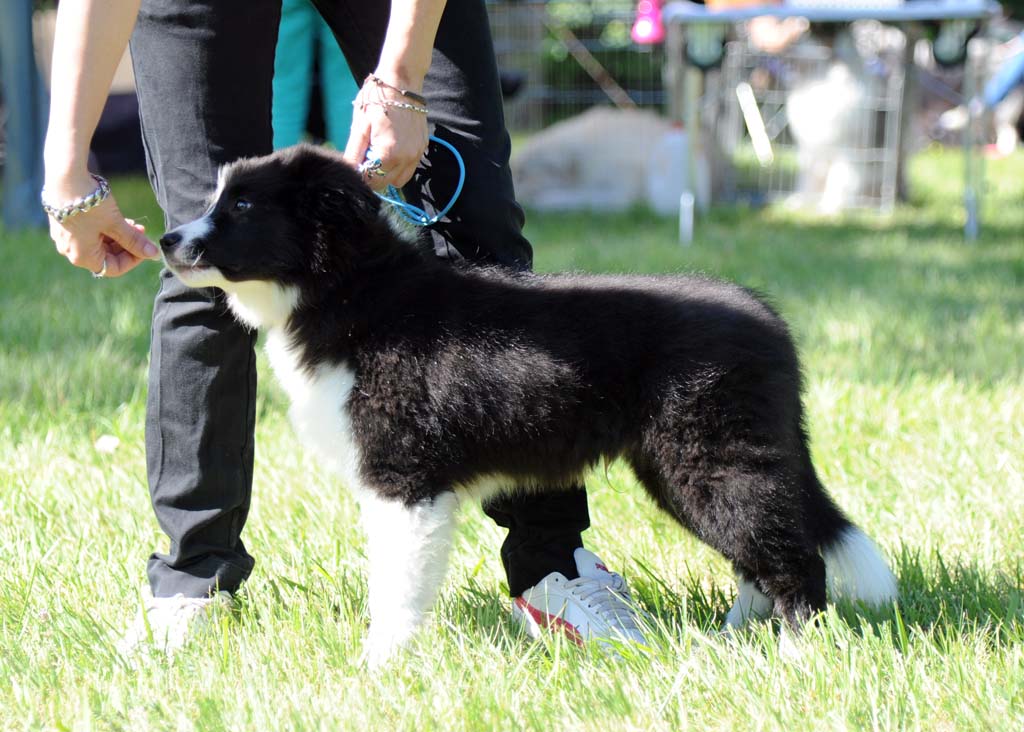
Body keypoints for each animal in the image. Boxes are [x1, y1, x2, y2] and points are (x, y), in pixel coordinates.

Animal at [159, 146, 897, 667]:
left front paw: (380, 664)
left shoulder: (404, 478)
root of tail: (769, 322)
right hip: (688, 463)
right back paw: (734, 637)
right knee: (759, 548)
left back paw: (796, 654)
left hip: (710, 455)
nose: (166, 239)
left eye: (243, 207)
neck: (349, 292)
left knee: (790, 553)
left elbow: (397, 579)